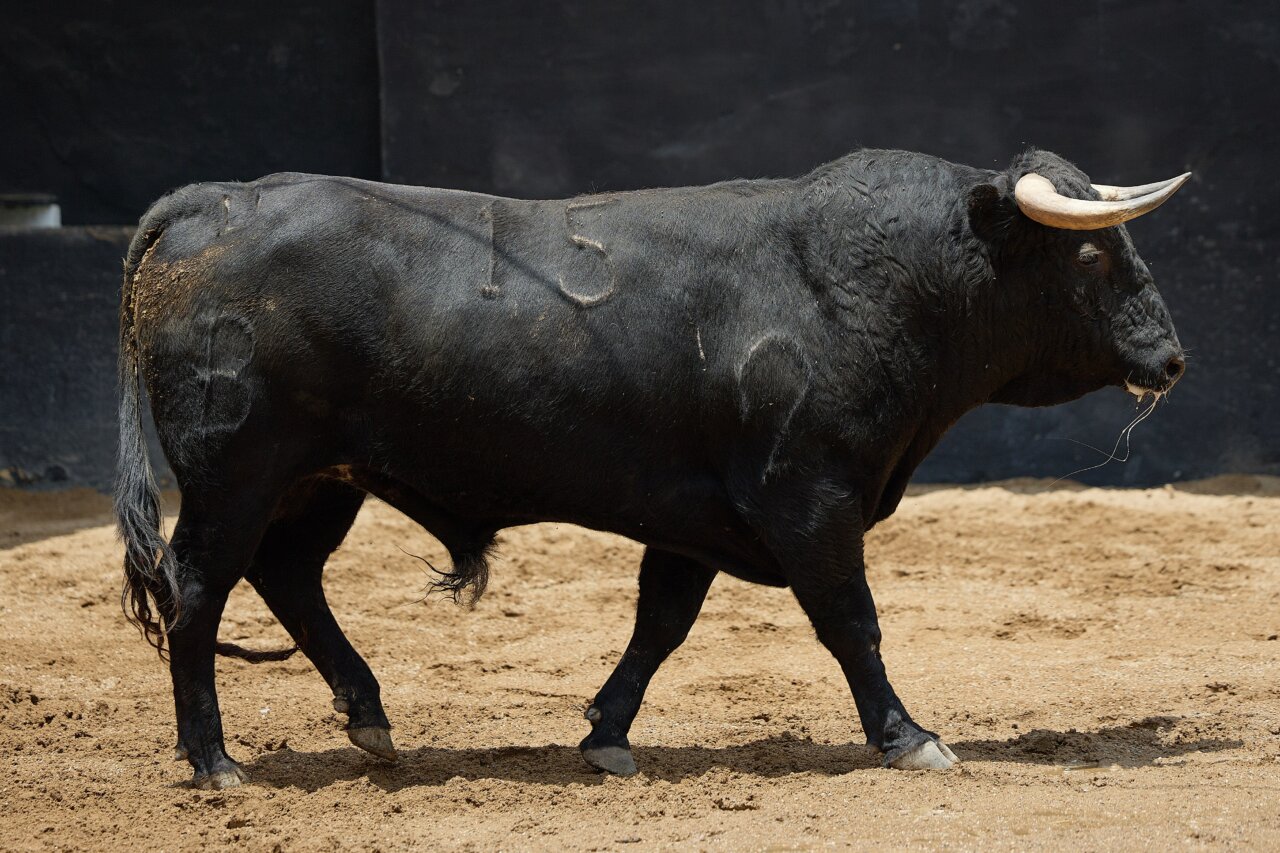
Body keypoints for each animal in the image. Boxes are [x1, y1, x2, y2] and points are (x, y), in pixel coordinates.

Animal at [115, 147, 1188, 789]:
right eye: (1090, 257)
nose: (1171, 358)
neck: (865, 282)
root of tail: (216, 201)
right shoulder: (809, 500)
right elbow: (852, 622)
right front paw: (909, 736)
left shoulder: (694, 518)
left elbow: (661, 624)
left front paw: (606, 734)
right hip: (235, 475)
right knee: (198, 588)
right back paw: (214, 761)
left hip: (317, 480)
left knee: (287, 573)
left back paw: (369, 717)